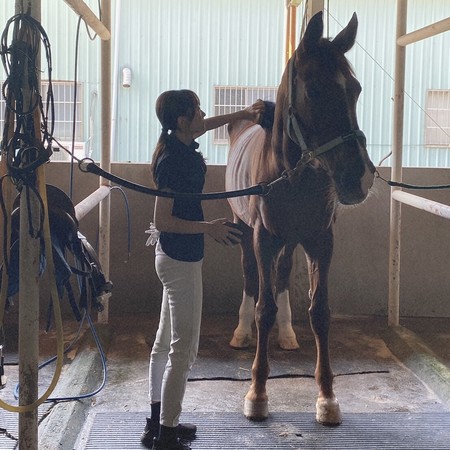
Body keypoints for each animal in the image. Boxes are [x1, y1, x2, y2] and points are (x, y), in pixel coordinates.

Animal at [225, 10, 376, 426]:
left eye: (357, 89)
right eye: (314, 90)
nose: (360, 177)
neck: (292, 173)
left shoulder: (320, 240)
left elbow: (319, 311)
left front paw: (327, 397)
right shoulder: (263, 238)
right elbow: (263, 307)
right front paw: (257, 393)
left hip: (291, 241)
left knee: (280, 277)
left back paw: (288, 334)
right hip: (245, 231)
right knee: (250, 278)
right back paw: (241, 332)